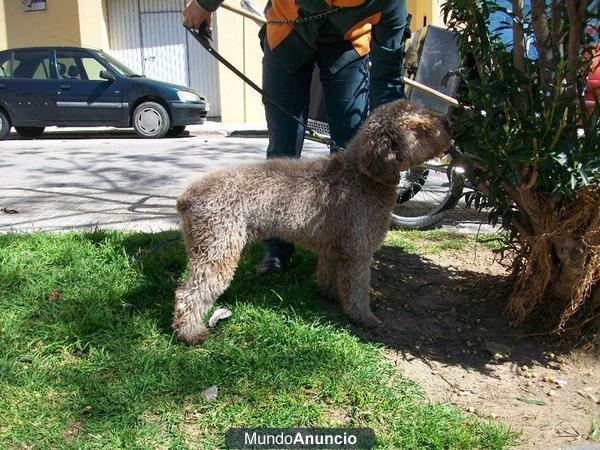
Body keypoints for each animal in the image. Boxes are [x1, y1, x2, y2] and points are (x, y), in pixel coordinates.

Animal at [173, 99, 450, 344]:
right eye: (419, 129)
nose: (448, 123)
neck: (363, 174)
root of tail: (187, 196)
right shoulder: (358, 251)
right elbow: (358, 289)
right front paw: (364, 318)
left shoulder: (334, 247)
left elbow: (328, 274)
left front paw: (329, 295)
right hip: (218, 247)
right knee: (189, 294)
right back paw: (191, 333)